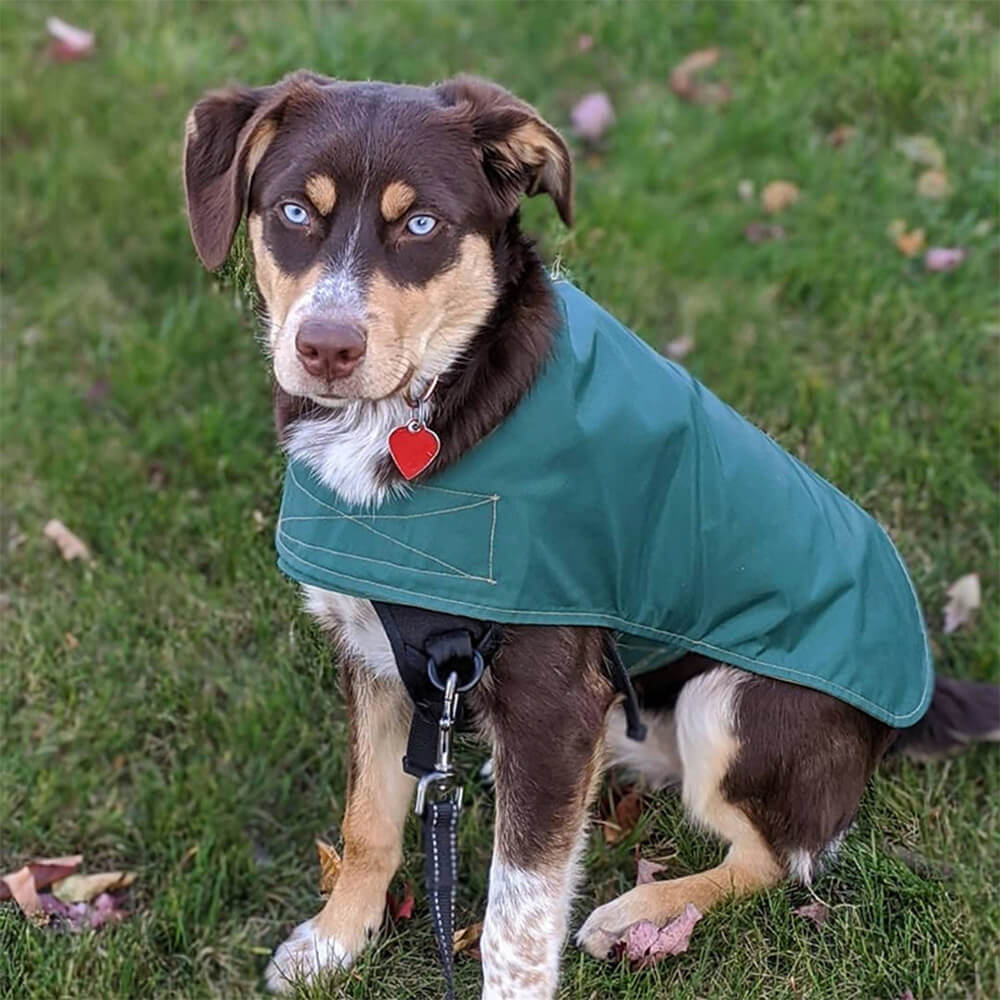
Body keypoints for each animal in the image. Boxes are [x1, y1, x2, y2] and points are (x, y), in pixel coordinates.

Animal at [182, 74, 1000, 996]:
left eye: (421, 225)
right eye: (294, 211)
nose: (324, 348)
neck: (425, 412)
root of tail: (910, 711)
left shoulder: (549, 690)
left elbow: (517, 913)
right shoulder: (375, 655)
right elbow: (368, 821)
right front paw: (334, 941)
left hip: (733, 700)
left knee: (779, 858)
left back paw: (640, 912)